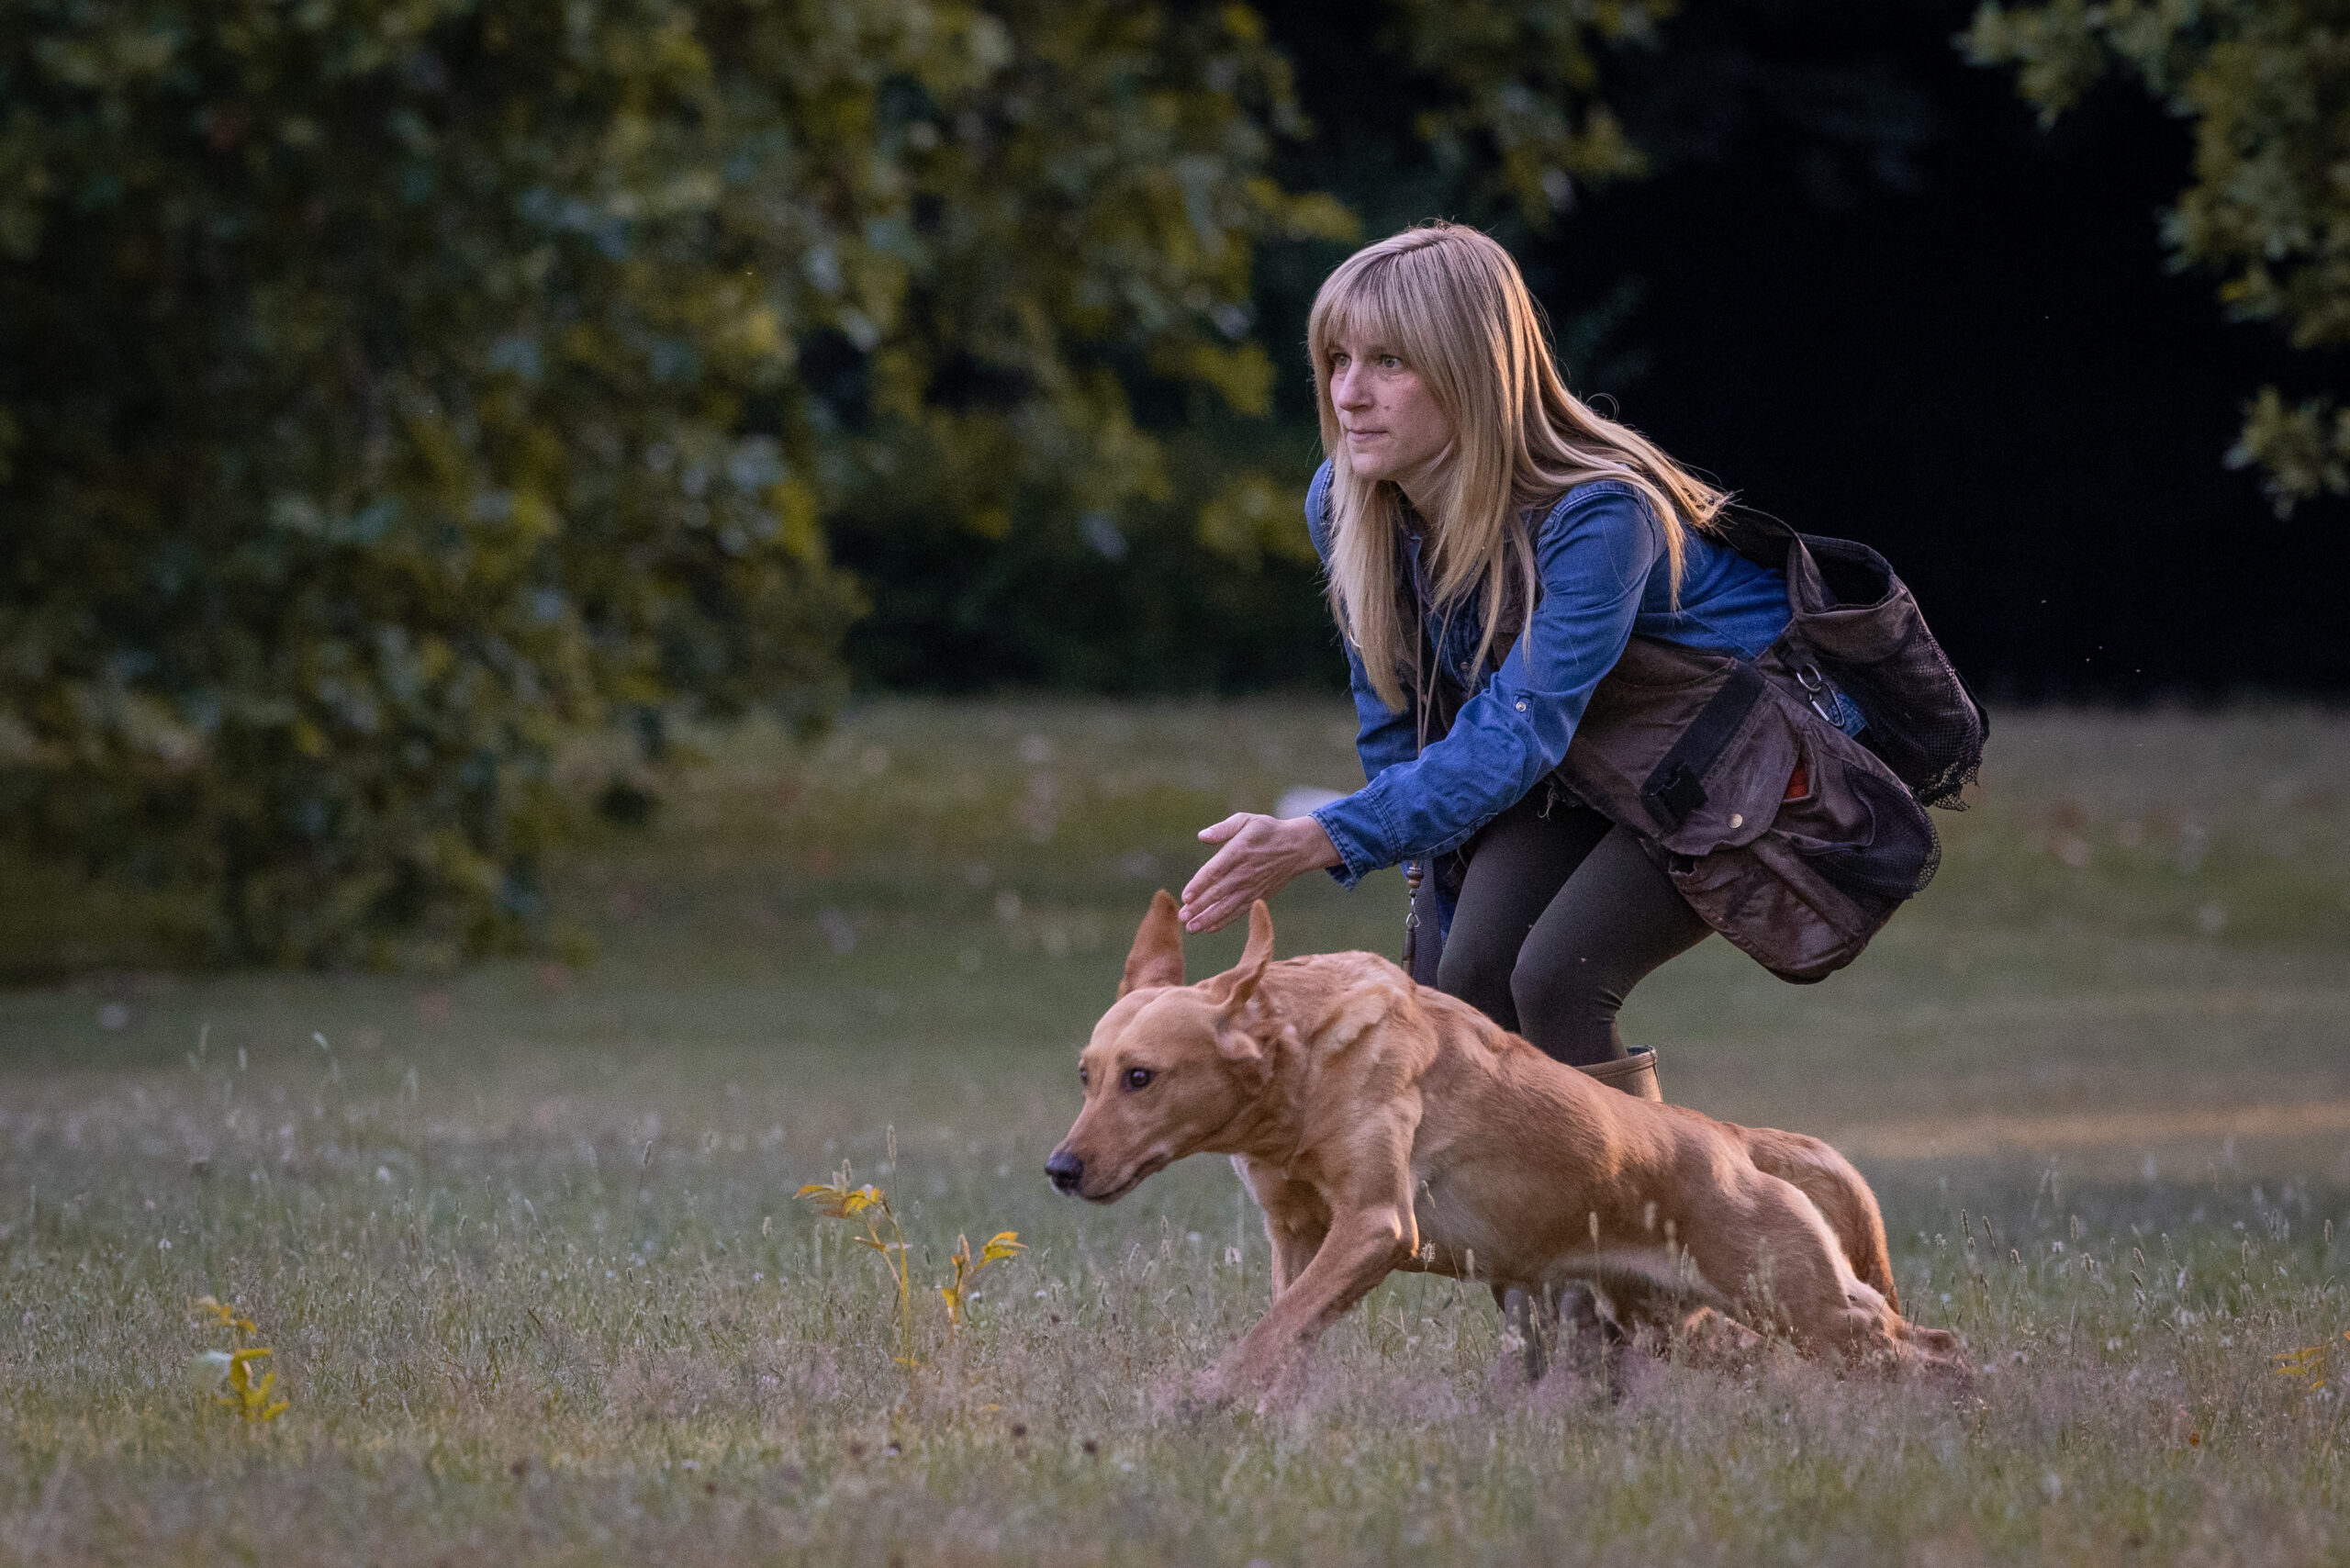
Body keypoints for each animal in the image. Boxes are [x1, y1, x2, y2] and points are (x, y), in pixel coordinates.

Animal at [1047, 888, 1964, 1401]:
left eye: (1141, 1077)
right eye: (1085, 1075)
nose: (1060, 1169)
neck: (1300, 1071)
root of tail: (1734, 1141)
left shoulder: (1375, 1226)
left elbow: (1271, 1333)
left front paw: (1201, 1400)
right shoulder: (1297, 1237)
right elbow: (1287, 1330)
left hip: (1802, 1307)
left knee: (1933, 1350)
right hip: (1687, 1320)